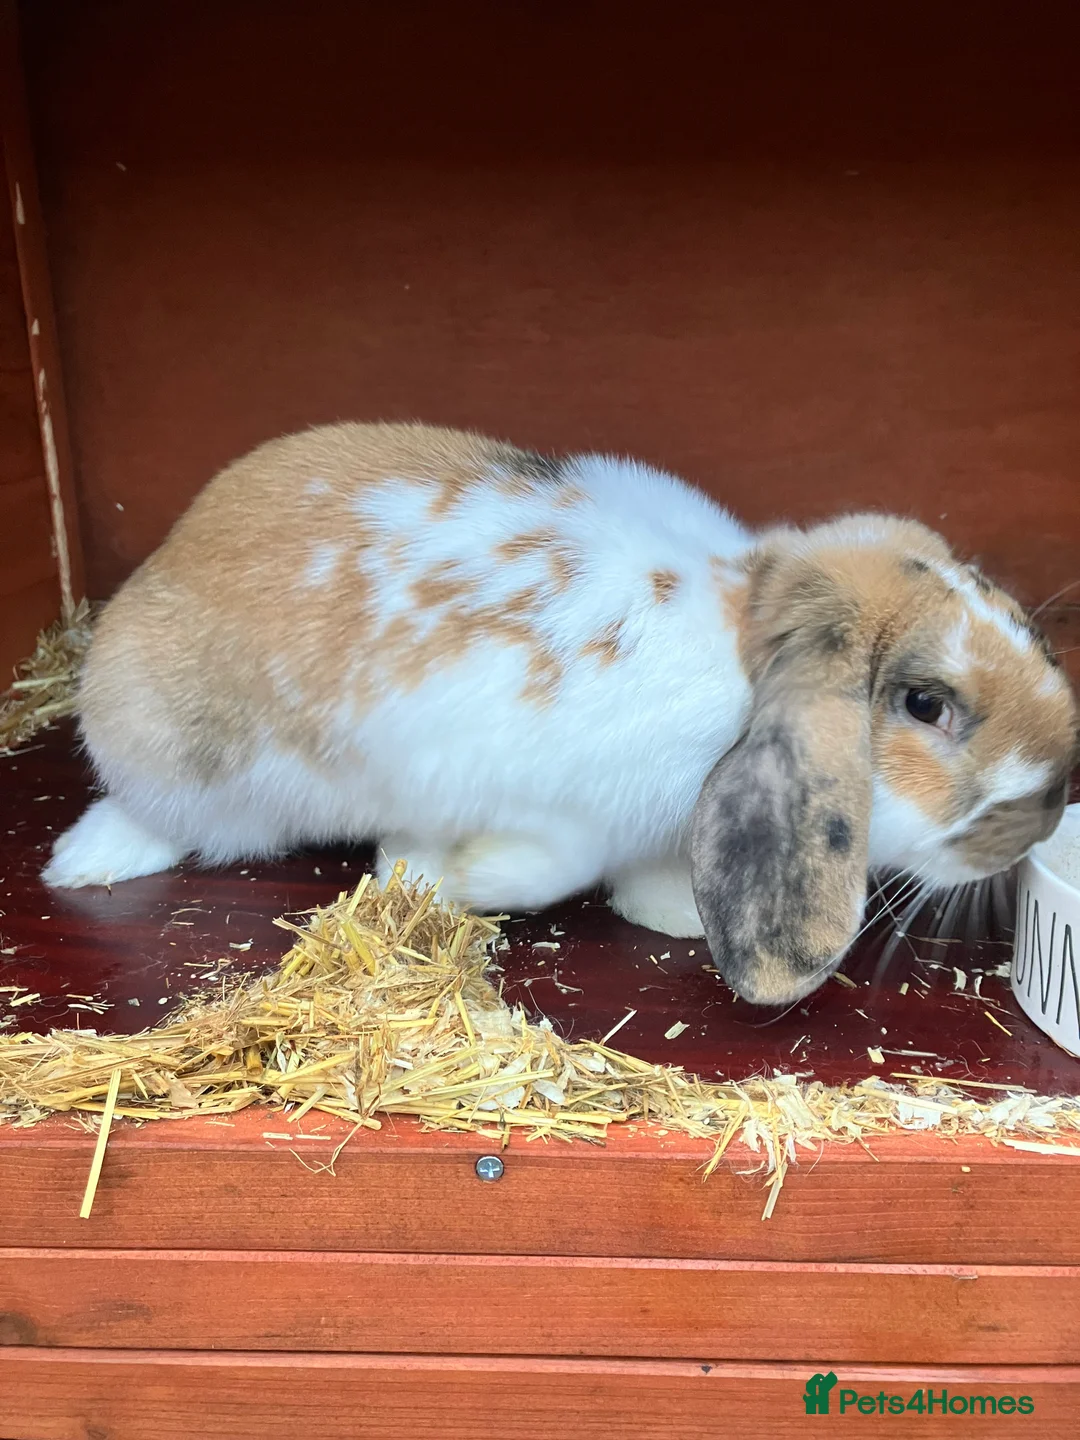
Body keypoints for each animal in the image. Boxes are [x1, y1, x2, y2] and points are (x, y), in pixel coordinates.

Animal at [43, 421, 1078, 1005]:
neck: (741, 653)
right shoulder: (541, 793)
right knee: (150, 814)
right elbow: (546, 867)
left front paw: (674, 917)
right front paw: (451, 879)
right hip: (174, 760)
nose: (1051, 804)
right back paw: (86, 864)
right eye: (925, 703)